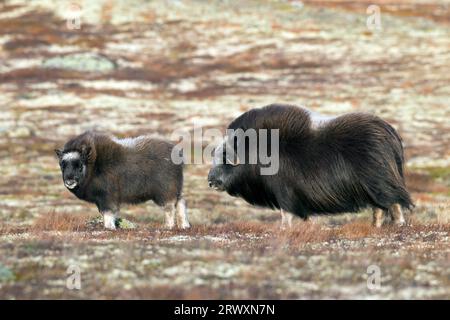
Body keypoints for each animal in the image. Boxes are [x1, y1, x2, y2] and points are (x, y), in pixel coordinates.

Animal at [55, 130, 189, 230]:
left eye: (79, 166)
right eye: (63, 165)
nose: (69, 181)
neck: (93, 166)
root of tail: (177, 154)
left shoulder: (107, 197)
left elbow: (108, 212)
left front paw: (109, 228)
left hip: (165, 191)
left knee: (169, 207)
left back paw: (168, 227)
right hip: (176, 189)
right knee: (181, 202)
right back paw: (184, 226)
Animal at [209, 103, 414, 228]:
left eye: (225, 158)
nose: (210, 182)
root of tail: (390, 133)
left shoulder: (284, 193)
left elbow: (286, 215)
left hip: (379, 183)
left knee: (393, 203)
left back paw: (398, 225)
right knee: (380, 208)